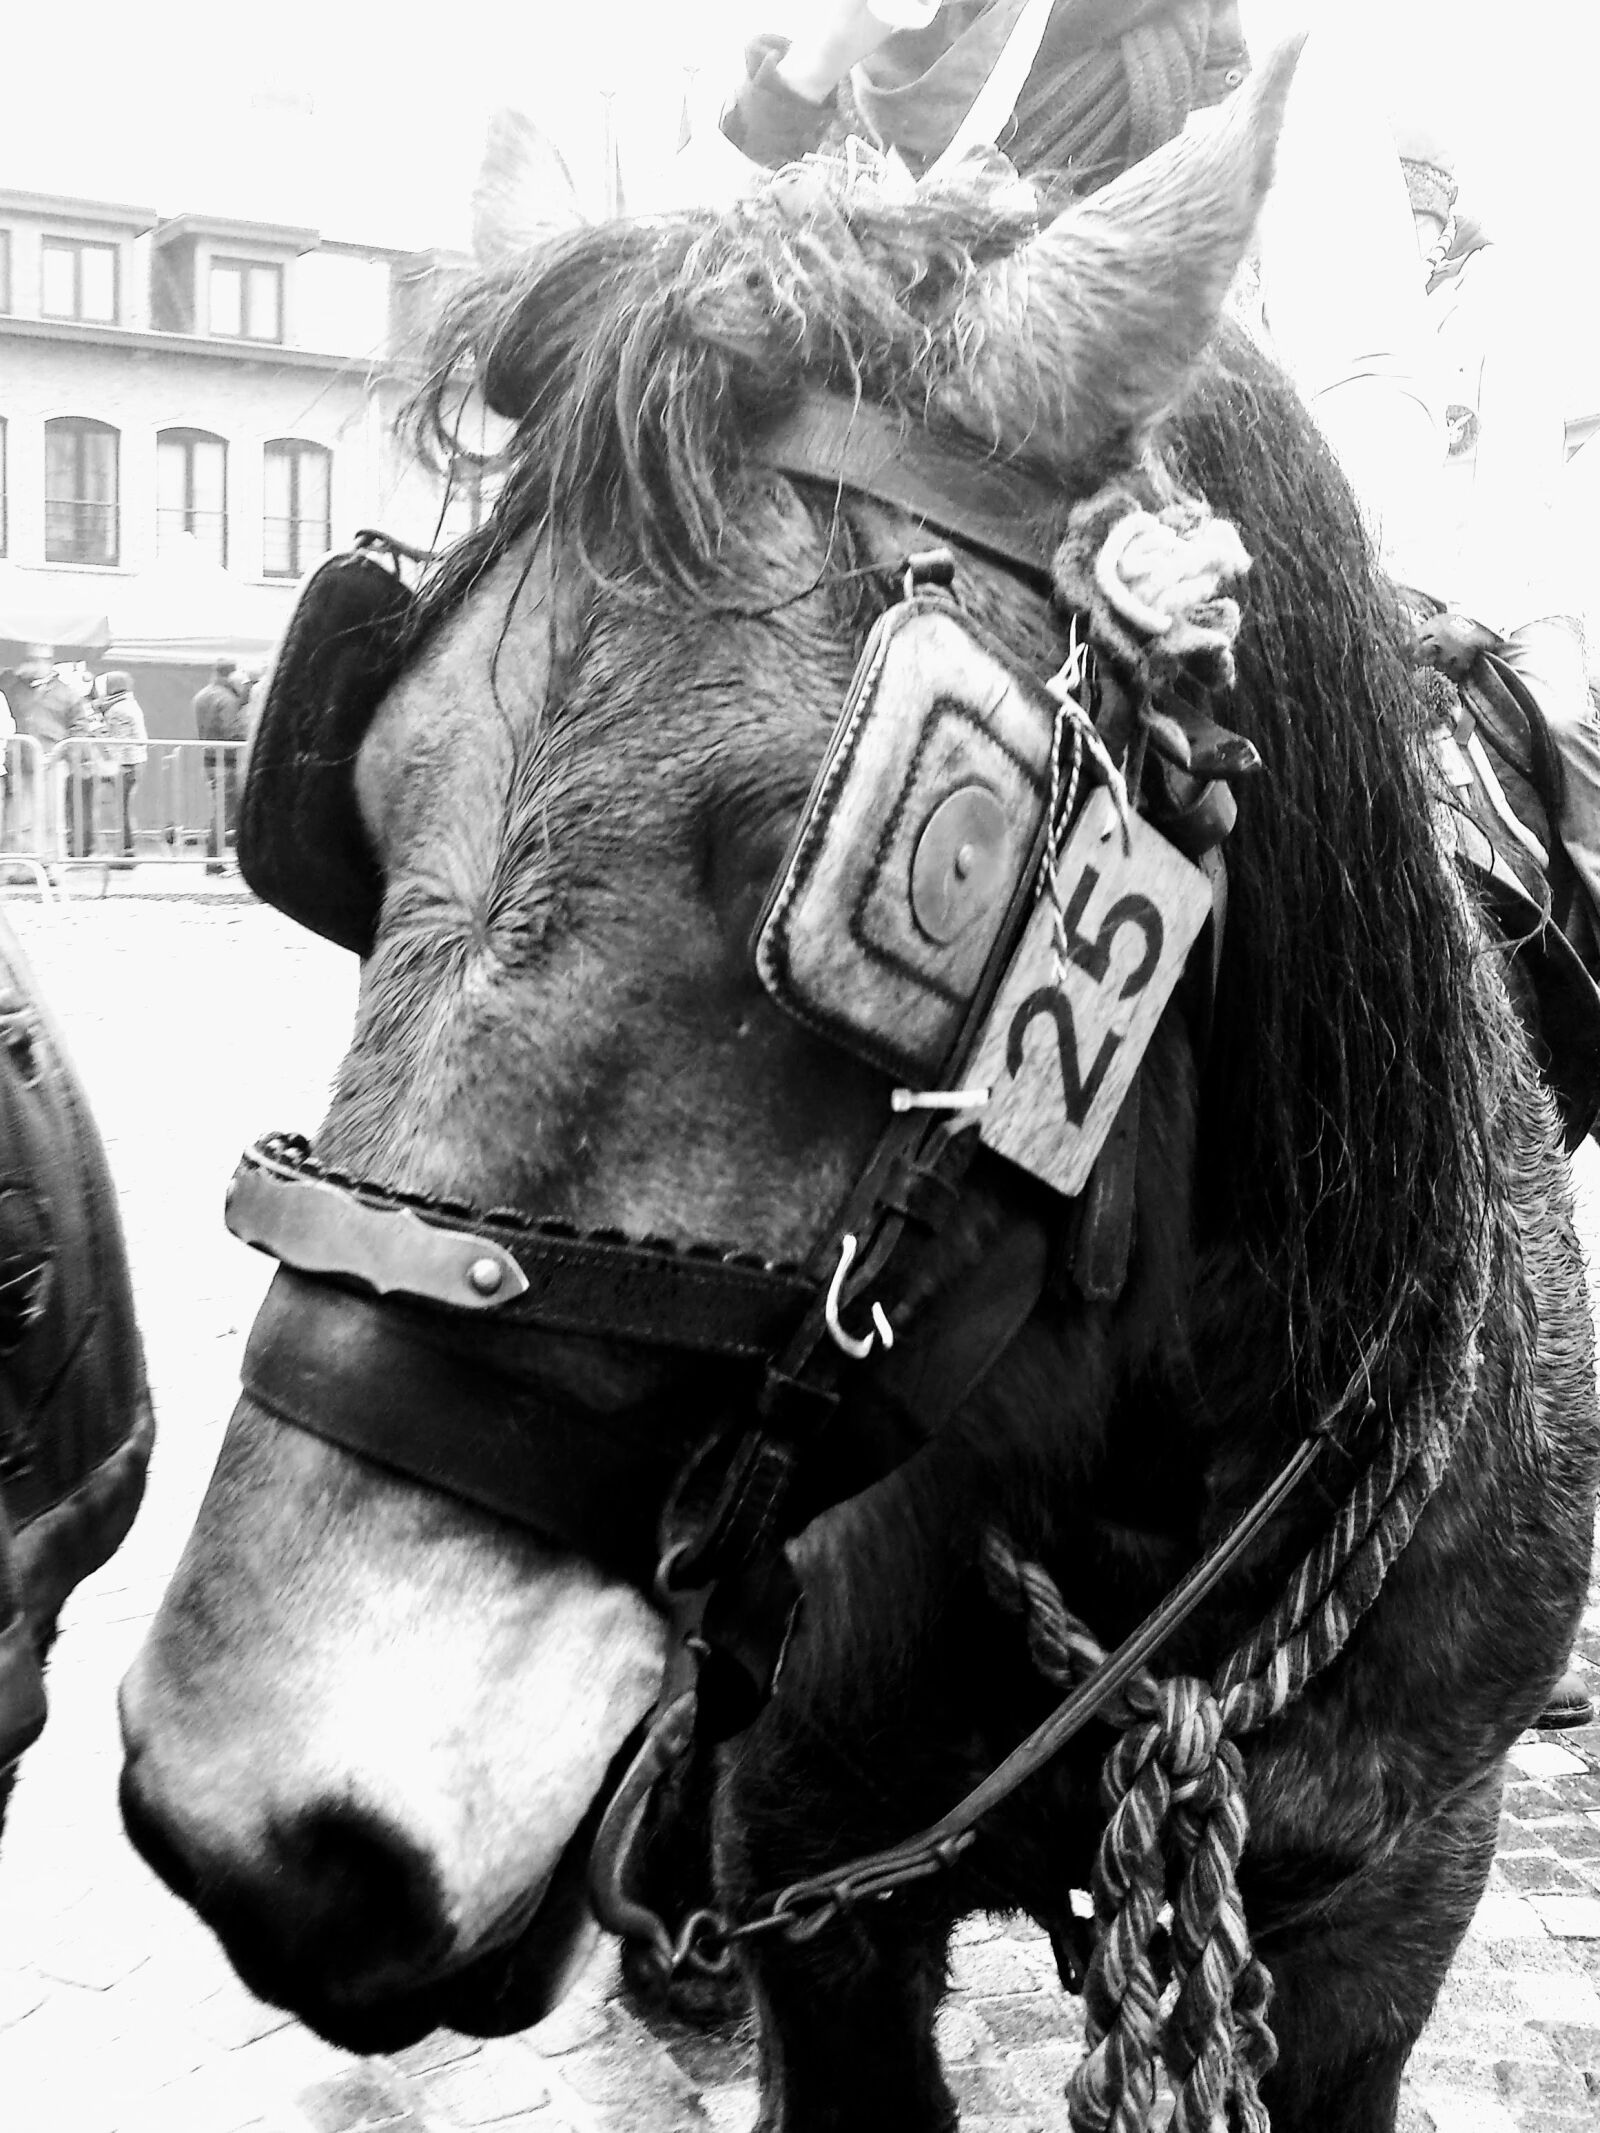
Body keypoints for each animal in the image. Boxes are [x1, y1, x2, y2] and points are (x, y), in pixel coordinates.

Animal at [118, 53, 1599, 2132]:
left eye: (913, 857)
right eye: (364, 798)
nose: (258, 1821)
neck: (1146, 1500)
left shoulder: (1397, 1901)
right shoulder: (817, 1896)